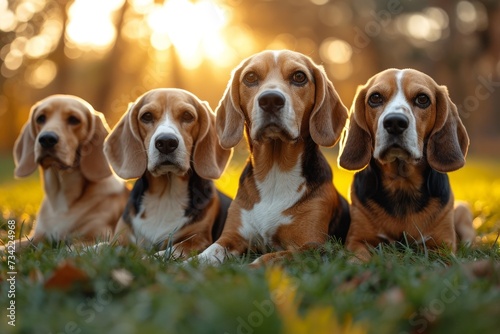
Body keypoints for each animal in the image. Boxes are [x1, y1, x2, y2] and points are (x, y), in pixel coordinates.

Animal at [3, 95, 128, 249]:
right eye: (41, 118)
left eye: (74, 119)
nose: (47, 139)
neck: (59, 198)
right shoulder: (37, 237)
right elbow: (9, 247)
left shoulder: (95, 237)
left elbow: (71, 249)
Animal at [104, 87, 233, 258]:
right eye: (147, 116)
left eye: (187, 115)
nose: (166, 142)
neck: (165, 195)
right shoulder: (120, 239)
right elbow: (100, 246)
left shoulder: (197, 239)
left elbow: (166, 252)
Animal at [193, 49, 350, 266]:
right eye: (250, 77)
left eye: (299, 76)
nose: (270, 100)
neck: (274, 170)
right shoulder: (231, 237)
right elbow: (205, 254)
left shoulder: (312, 247)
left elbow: (268, 258)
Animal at [338, 68, 474, 260]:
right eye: (375, 97)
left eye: (422, 99)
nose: (395, 122)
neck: (402, 184)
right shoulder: (357, 241)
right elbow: (357, 259)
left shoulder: (442, 246)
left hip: (463, 210)